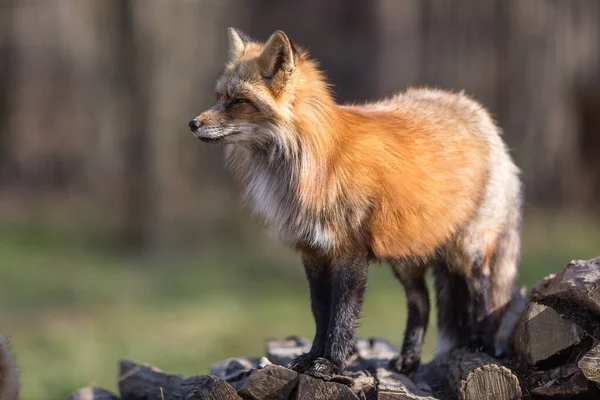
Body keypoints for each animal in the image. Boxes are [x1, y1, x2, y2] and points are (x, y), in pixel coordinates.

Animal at [189, 28, 520, 378]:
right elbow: (320, 313)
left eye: (239, 100)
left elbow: (342, 316)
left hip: (468, 250)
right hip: (406, 255)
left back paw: (481, 343)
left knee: (483, 294)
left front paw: (332, 363)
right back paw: (409, 358)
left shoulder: (349, 252)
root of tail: (477, 111)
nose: (192, 124)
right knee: (422, 303)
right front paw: (311, 357)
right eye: (218, 96)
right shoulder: (313, 252)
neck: (313, 164)